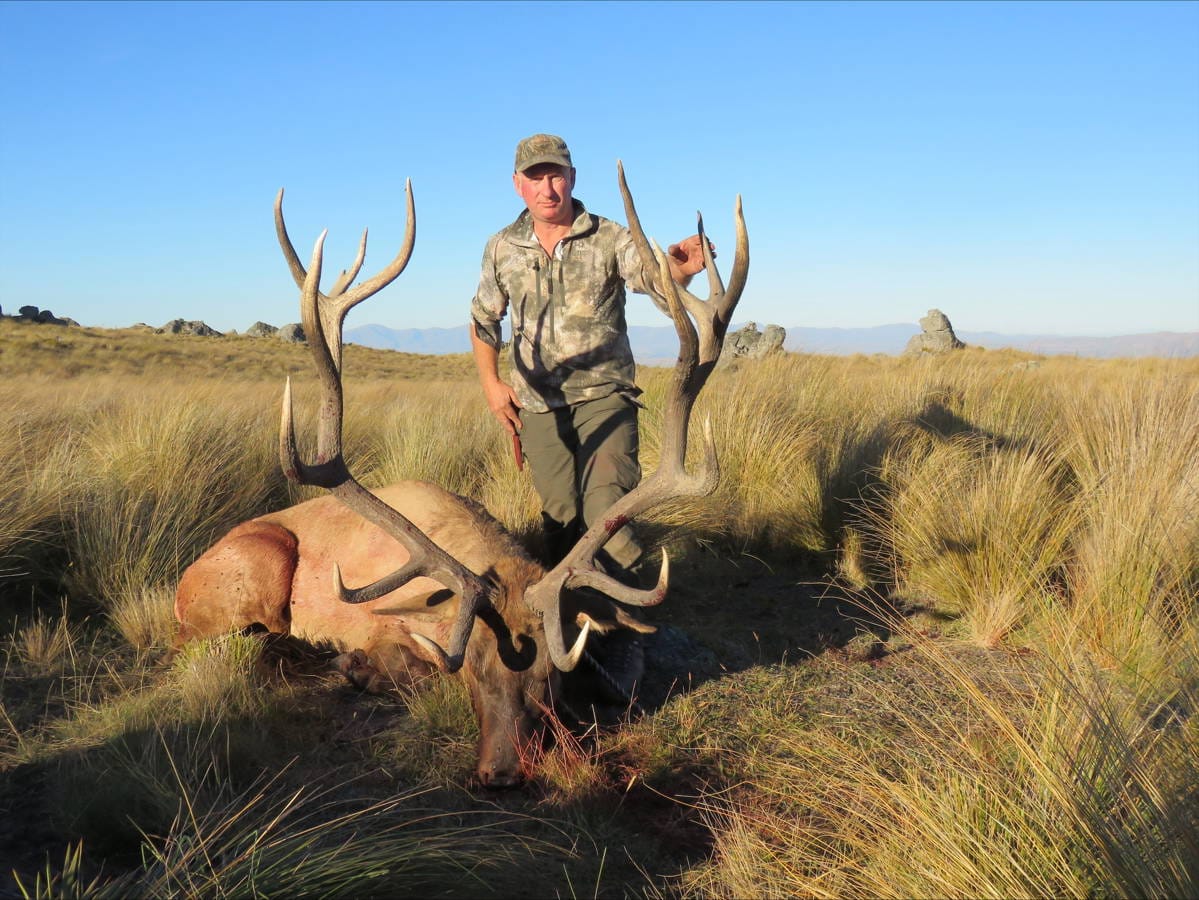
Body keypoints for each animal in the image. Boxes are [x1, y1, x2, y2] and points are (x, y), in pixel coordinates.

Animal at [174, 164, 748, 787]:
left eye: (550, 677)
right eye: (473, 669)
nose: (501, 772)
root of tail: (179, 589)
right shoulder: (380, 622)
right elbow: (405, 666)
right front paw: (355, 666)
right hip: (259, 567)